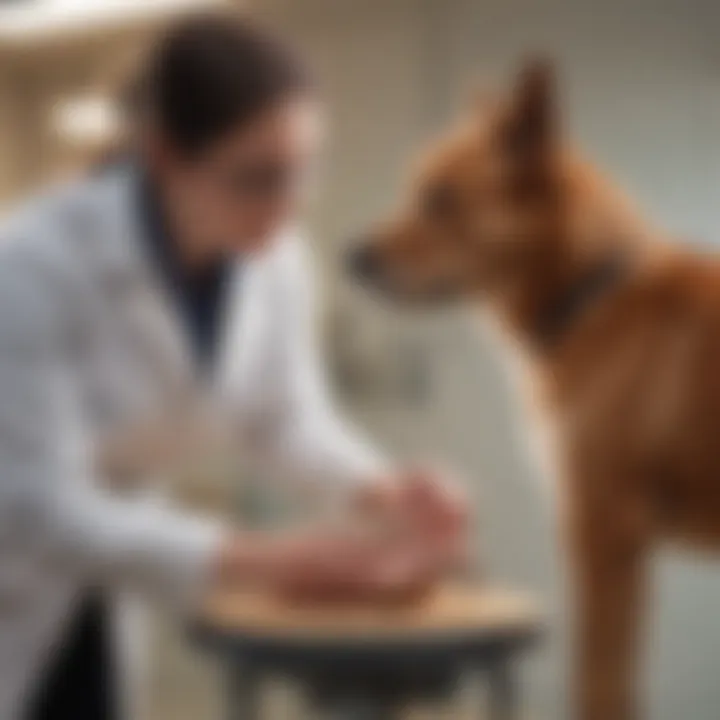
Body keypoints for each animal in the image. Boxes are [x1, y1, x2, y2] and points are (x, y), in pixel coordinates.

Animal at [348, 62, 720, 720]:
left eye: (441, 199)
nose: (352, 258)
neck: (591, 297)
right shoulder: (621, 547)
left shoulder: (604, 533)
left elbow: (599, 687)